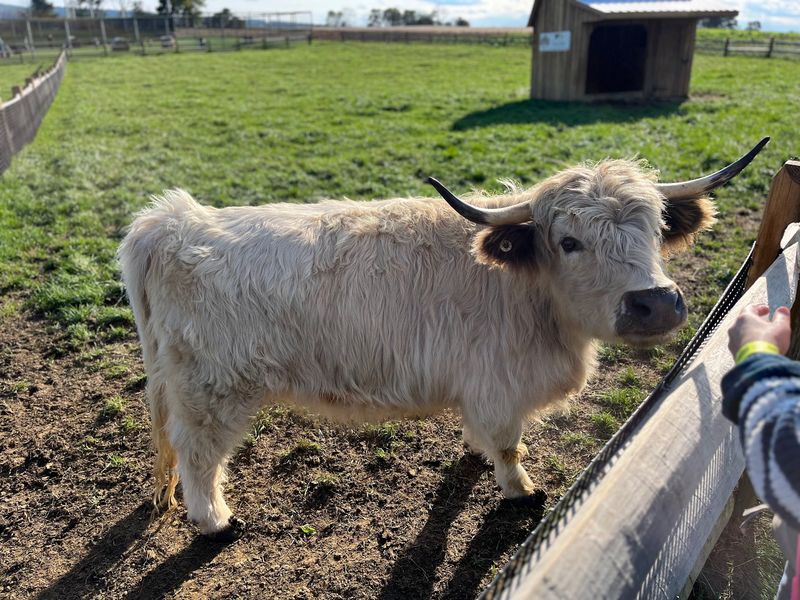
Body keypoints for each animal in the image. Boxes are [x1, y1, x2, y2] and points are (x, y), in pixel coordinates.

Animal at [118, 139, 768, 541]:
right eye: (569, 241)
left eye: (656, 228)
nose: (654, 302)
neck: (529, 294)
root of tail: (173, 222)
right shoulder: (499, 389)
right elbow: (509, 447)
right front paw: (520, 491)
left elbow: (484, 439)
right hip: (211, 391)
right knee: (199, 457)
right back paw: (216, 522)